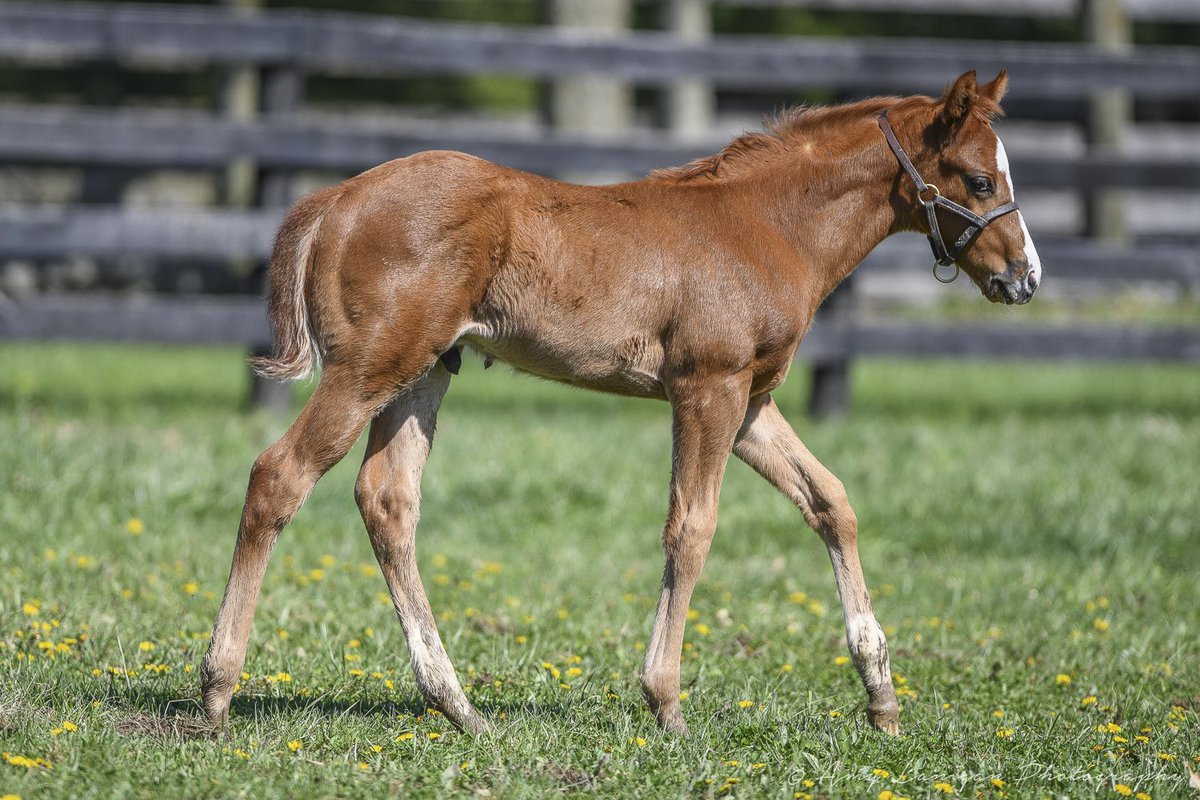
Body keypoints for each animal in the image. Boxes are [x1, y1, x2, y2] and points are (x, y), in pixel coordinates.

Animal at [200, 69, 1041, 737]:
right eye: (979, 180)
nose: (1025, 278)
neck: (767, 224)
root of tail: (337, 195)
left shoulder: (752, 403)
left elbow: (831, 502)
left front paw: (881, 696)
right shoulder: (707, 388)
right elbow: (691, 529)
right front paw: (665, 702)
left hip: (425, 372)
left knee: (387, 500)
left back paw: (458, 705)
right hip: (371, 367)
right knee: (279, 477)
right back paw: (216, 691)